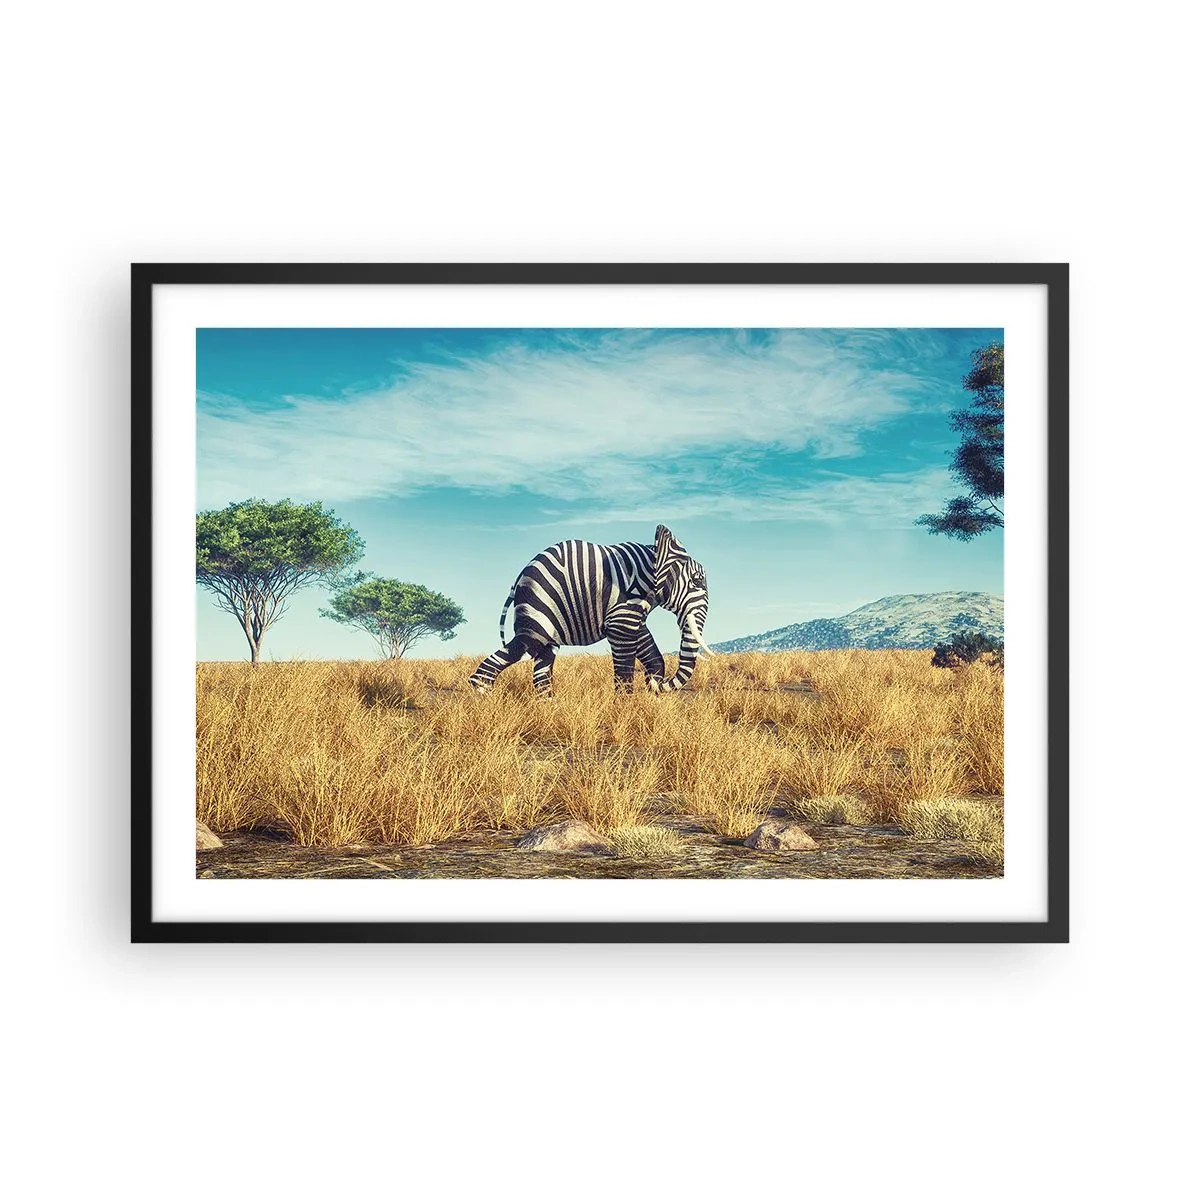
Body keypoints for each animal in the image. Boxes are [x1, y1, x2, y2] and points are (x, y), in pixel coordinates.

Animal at [469, 524, 713, 696]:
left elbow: (652, 654)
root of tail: (519, 577)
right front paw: (626, 711)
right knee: (524, 648)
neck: (652, 559)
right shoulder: (622, 609)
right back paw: (486, 702)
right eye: (697, 581)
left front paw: (651, 691)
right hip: (538, 607)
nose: (657, 685)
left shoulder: (633, 612)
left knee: (543, 666)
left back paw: (549, 712)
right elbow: (624, 667)